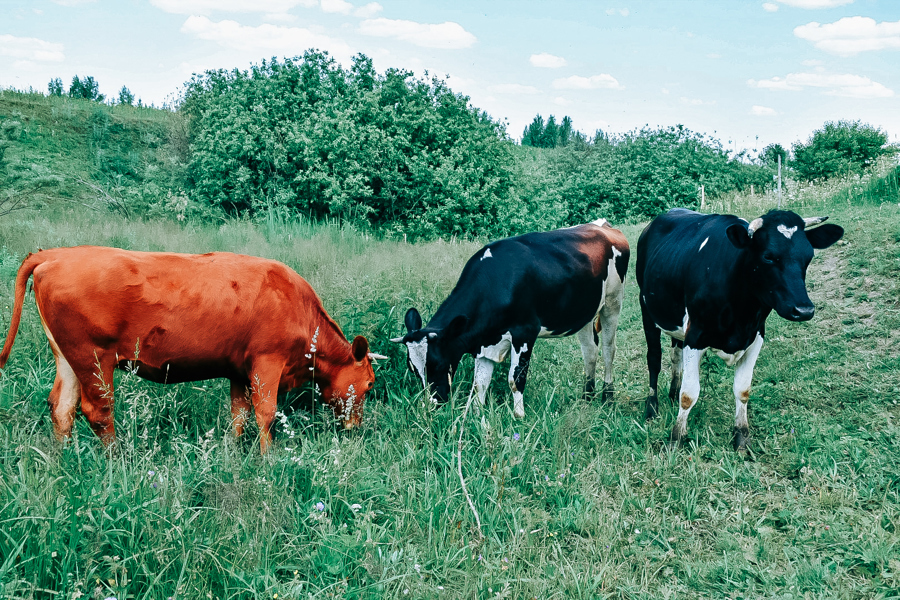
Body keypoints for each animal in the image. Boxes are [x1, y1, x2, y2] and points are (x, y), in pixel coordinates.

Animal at [0, 246, 384, 452]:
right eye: (369, 384)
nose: (355, 428)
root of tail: (58, 254)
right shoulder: (267, 363)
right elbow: (266, 413)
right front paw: (268, 458)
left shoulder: (239, 369)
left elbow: (239, 415)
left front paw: (233, 451)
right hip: (93, 357)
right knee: (98, 411)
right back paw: (115, 459)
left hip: (68, 357)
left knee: (62, 408)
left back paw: (64, 459)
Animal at [390, 218, 628, 420]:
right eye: (413, 369)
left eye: (438, 364)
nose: (431, 405)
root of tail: (604, 226)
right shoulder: (485, 342)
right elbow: (480, 384)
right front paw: (477, 416)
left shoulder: (525, 332)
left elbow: (515, 379)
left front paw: (519, 417)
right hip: (585, 313)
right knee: (590, 351)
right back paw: (587, 397)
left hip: (613, 303)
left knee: (608, 349)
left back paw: (607, 397)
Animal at [636, 209, 840, 448]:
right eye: (768, 256)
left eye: (809, 256)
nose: (804, 309)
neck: (741, 313)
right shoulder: (695, 336)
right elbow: (689, 394)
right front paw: (676, 438)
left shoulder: (755, 336)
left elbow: (742, 390)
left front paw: (741, 437)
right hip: (647, 310)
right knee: (654, 359)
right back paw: (652, 407)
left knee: (675, 355)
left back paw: (671, 392)